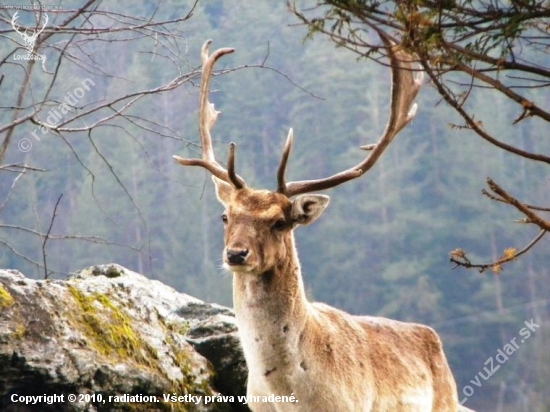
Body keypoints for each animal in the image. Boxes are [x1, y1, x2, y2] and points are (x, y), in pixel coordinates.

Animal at [177, 39, 470, 412]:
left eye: (279, 222)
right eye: (225, 216)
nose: (236, 254)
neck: (289, 394)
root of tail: (433, 340)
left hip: (446, 402)